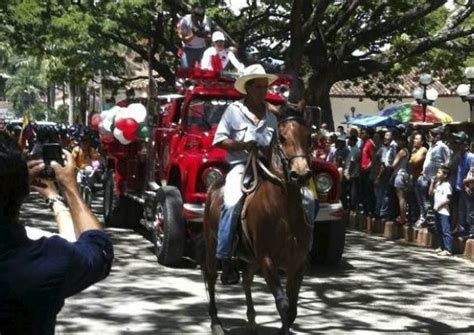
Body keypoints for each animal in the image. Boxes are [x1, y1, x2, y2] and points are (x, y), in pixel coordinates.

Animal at [202, 109, 312, 334]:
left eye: (309, 137)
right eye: (283, 138)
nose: (301, 173)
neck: (284, 210)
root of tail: (214, 186)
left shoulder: (297, 263)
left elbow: (292, 309)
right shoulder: (267, 260)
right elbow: (283, 304)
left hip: (251, 257)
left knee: (246, 279)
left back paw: (252, 320)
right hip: (212, 244)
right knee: (211, 276)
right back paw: (216, 323)